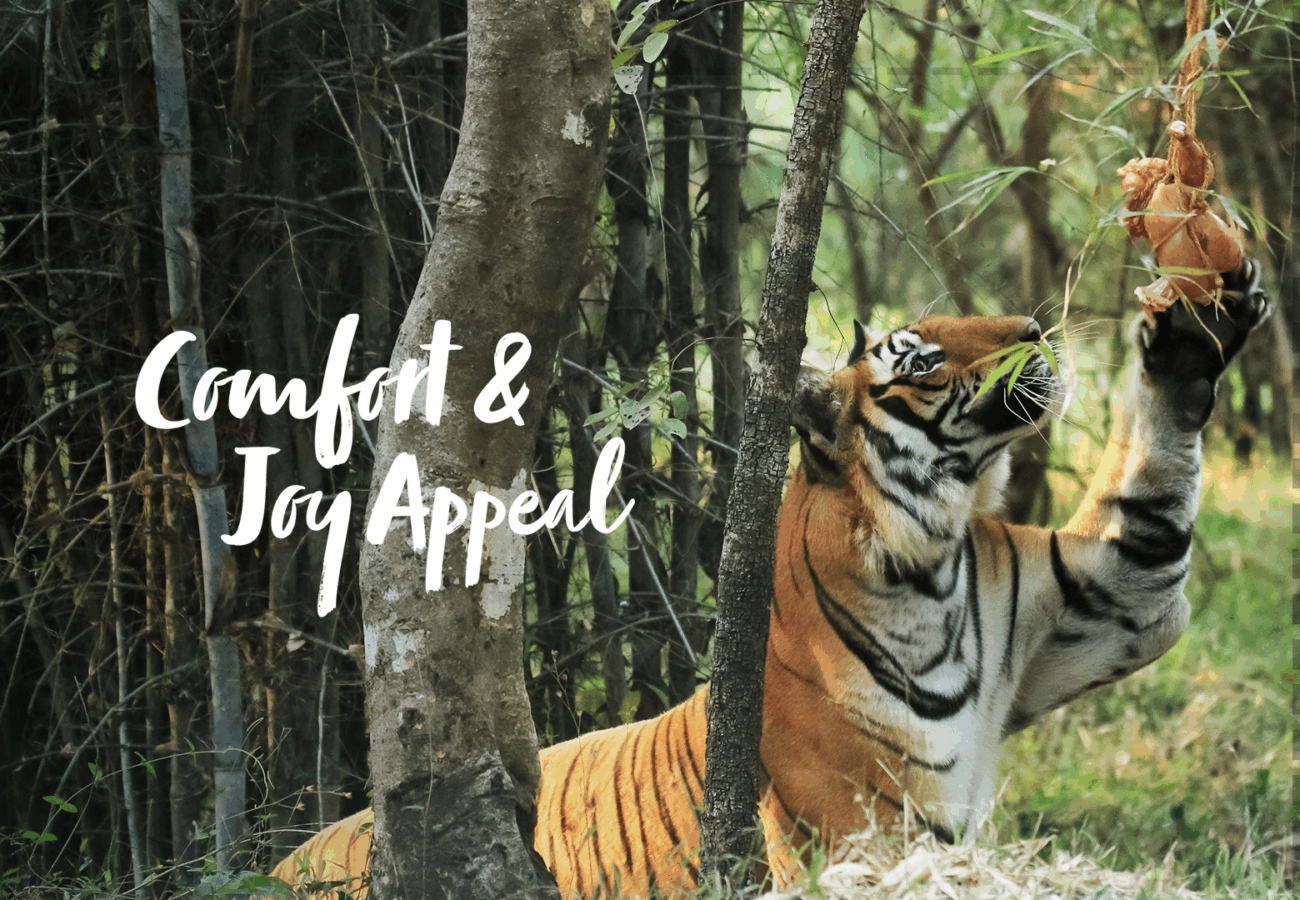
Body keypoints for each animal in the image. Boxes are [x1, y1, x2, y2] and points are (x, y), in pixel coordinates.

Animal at [269, 260, 1268, 899]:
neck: (933, 572)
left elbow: (1149, 510)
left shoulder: (1110, 592)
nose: (1032, 329)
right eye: (919, 357)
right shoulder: (869, 835)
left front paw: (1190, 339)